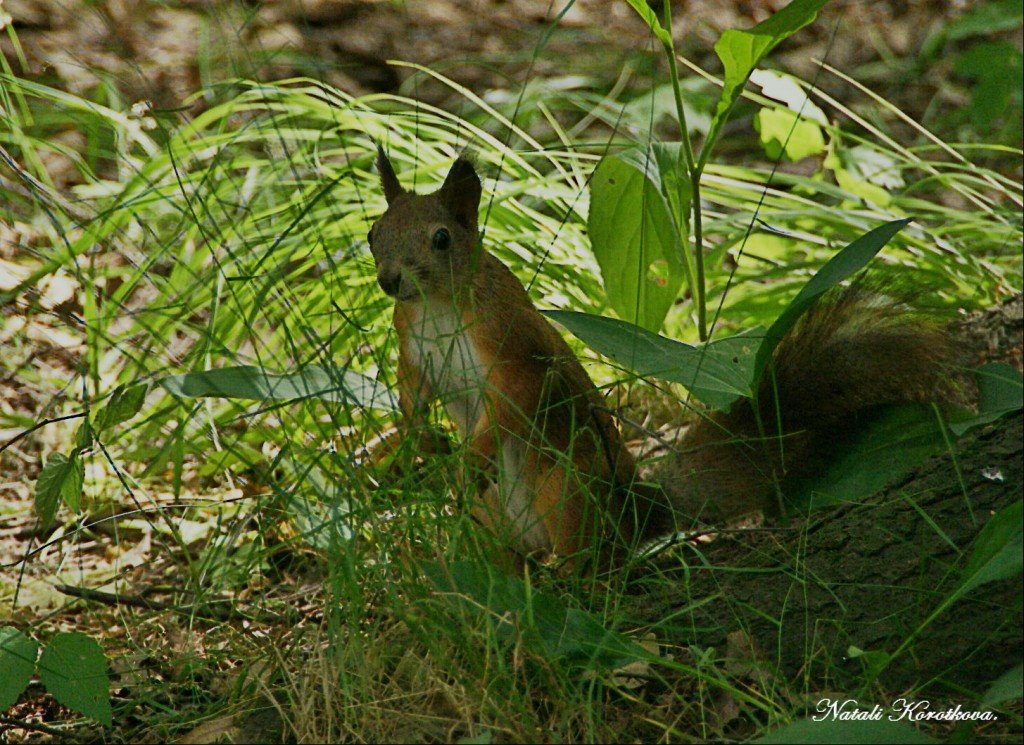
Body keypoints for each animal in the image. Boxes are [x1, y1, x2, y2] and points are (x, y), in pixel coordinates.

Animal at [368, 148, 950, 568]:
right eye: (374, 232)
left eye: (441, 239)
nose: (390, 282)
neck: (437, 307)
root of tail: (637, 511)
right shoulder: (412, 344)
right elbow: (411, 391)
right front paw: (412, 440)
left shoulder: (513, 346)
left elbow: (515, 400)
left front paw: (471, 455)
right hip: (490, 516)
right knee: (503, 552)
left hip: (570, 486)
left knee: (589, 553)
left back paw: (567, 572)